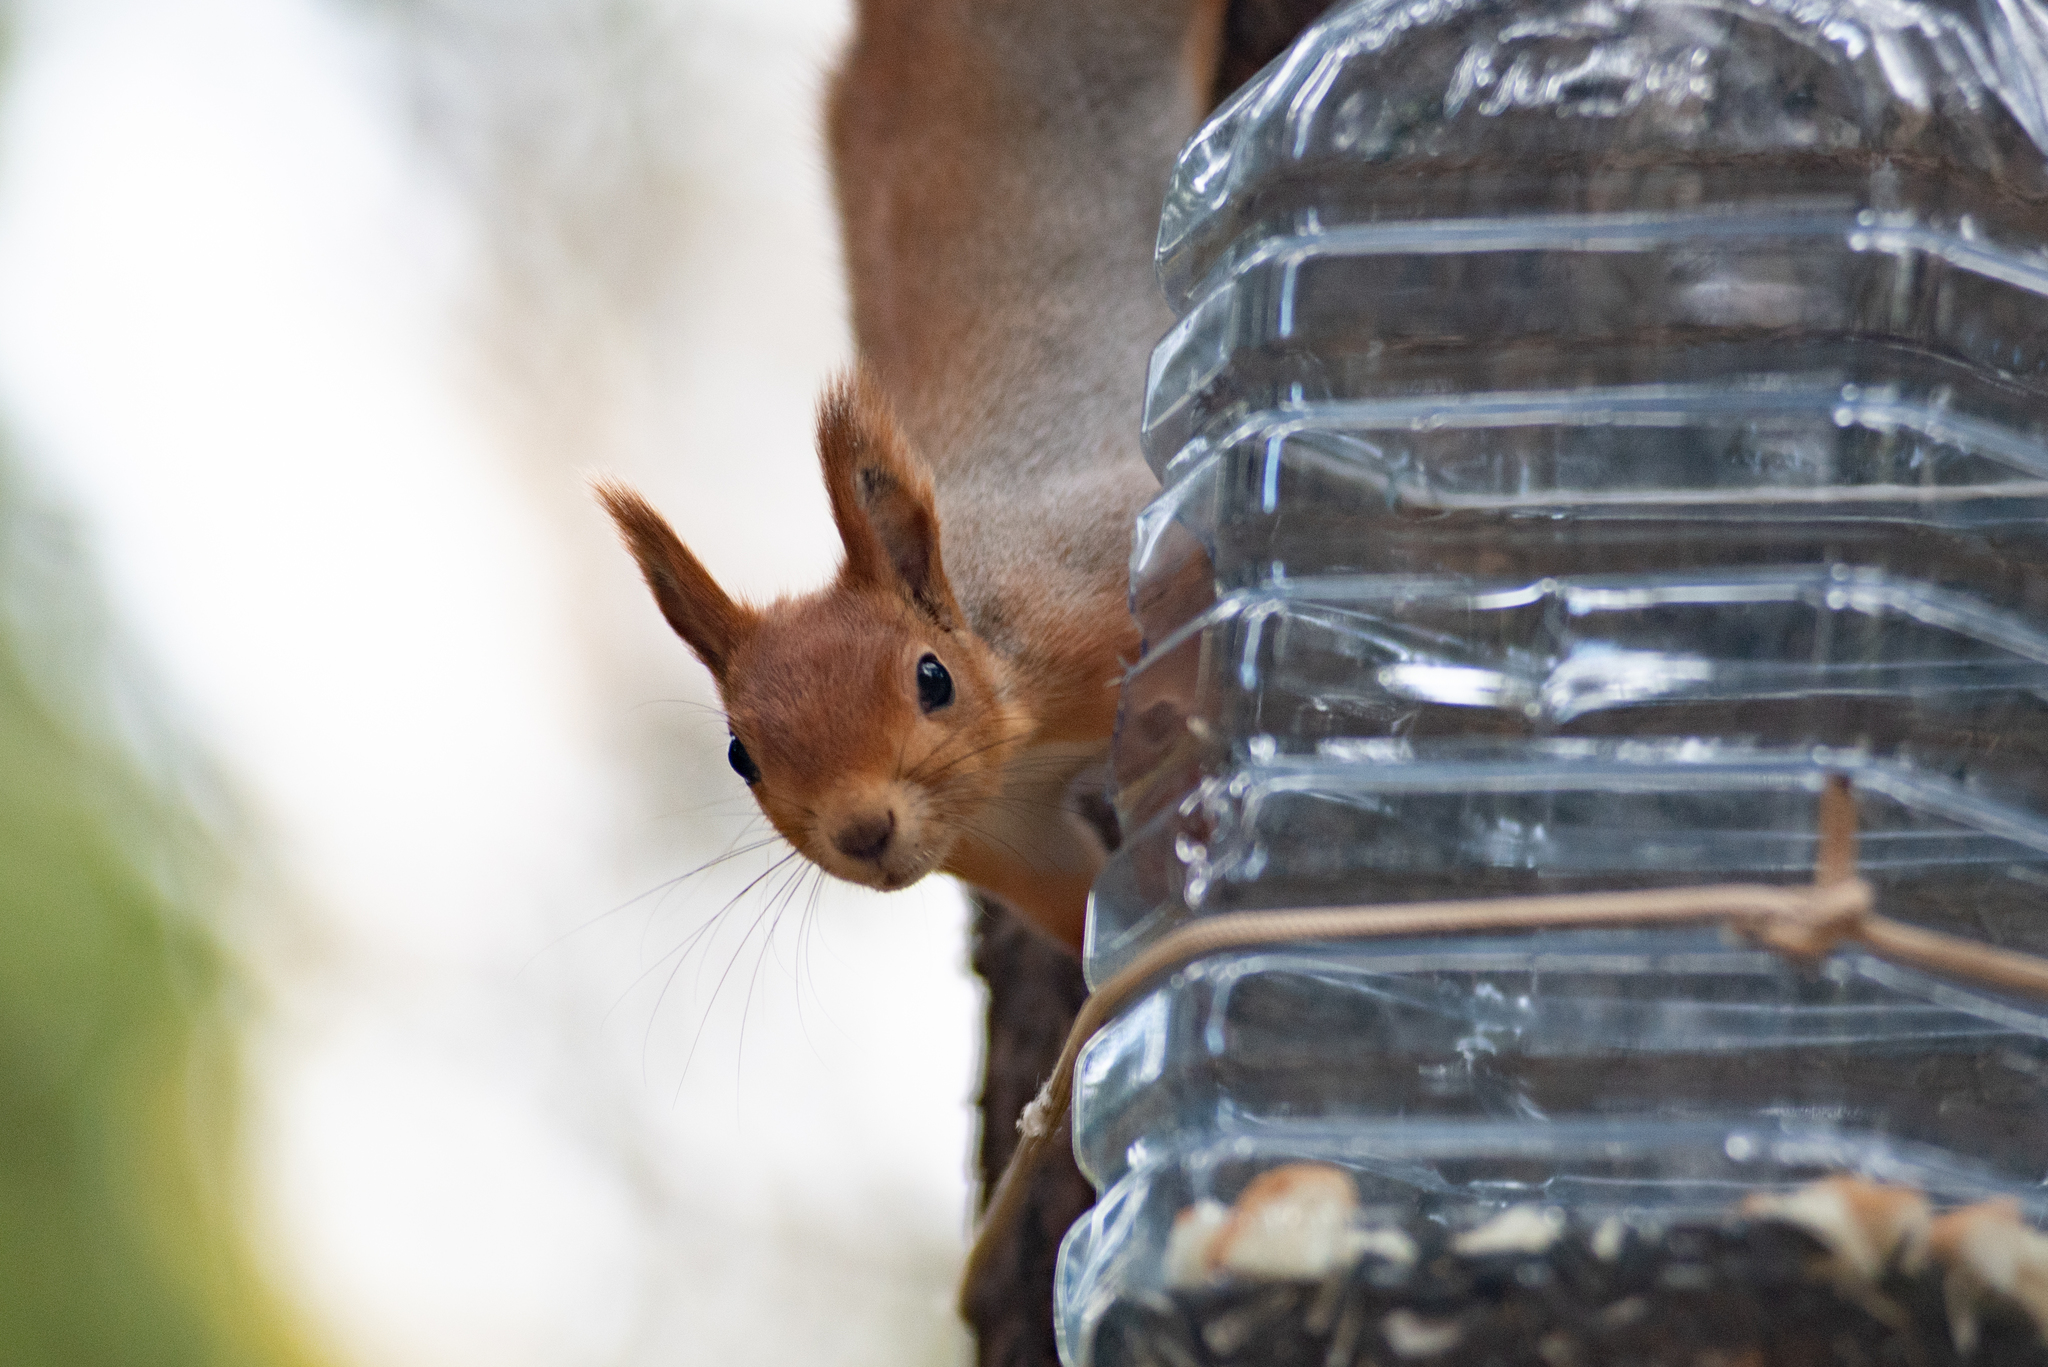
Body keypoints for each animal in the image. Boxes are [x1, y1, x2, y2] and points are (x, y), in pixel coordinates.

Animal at [598, 0, 1228, 950]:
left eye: (934, 678)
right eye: (742, 754)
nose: (863, 832)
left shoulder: (1093, 587)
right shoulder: (999, 831)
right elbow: (1074, 899)